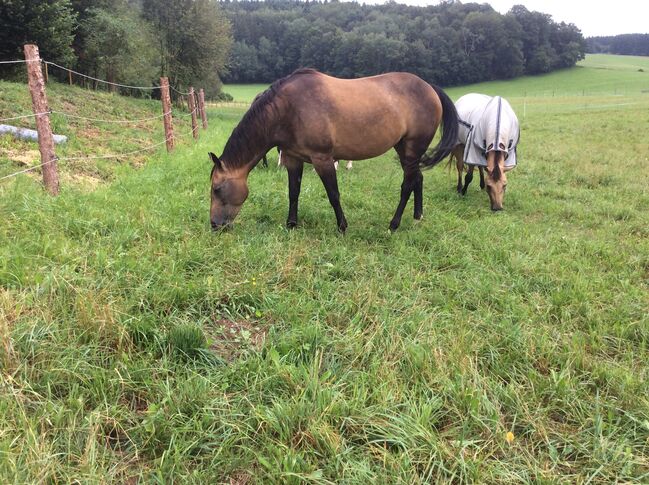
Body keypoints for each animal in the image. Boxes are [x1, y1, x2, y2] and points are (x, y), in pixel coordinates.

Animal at [210, 68, 458, 233]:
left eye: (217, 189)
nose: (214, 225)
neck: (288, 109)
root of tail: (430, 88)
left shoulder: (323, 159)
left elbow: (333, 194)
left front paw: (342, 227)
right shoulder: (293, 158)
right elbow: (293, 192)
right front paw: (291, 224)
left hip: (412, 149)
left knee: (407, 184)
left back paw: (394, 224)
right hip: (405, 149)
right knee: (418, 178)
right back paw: (417, 216)